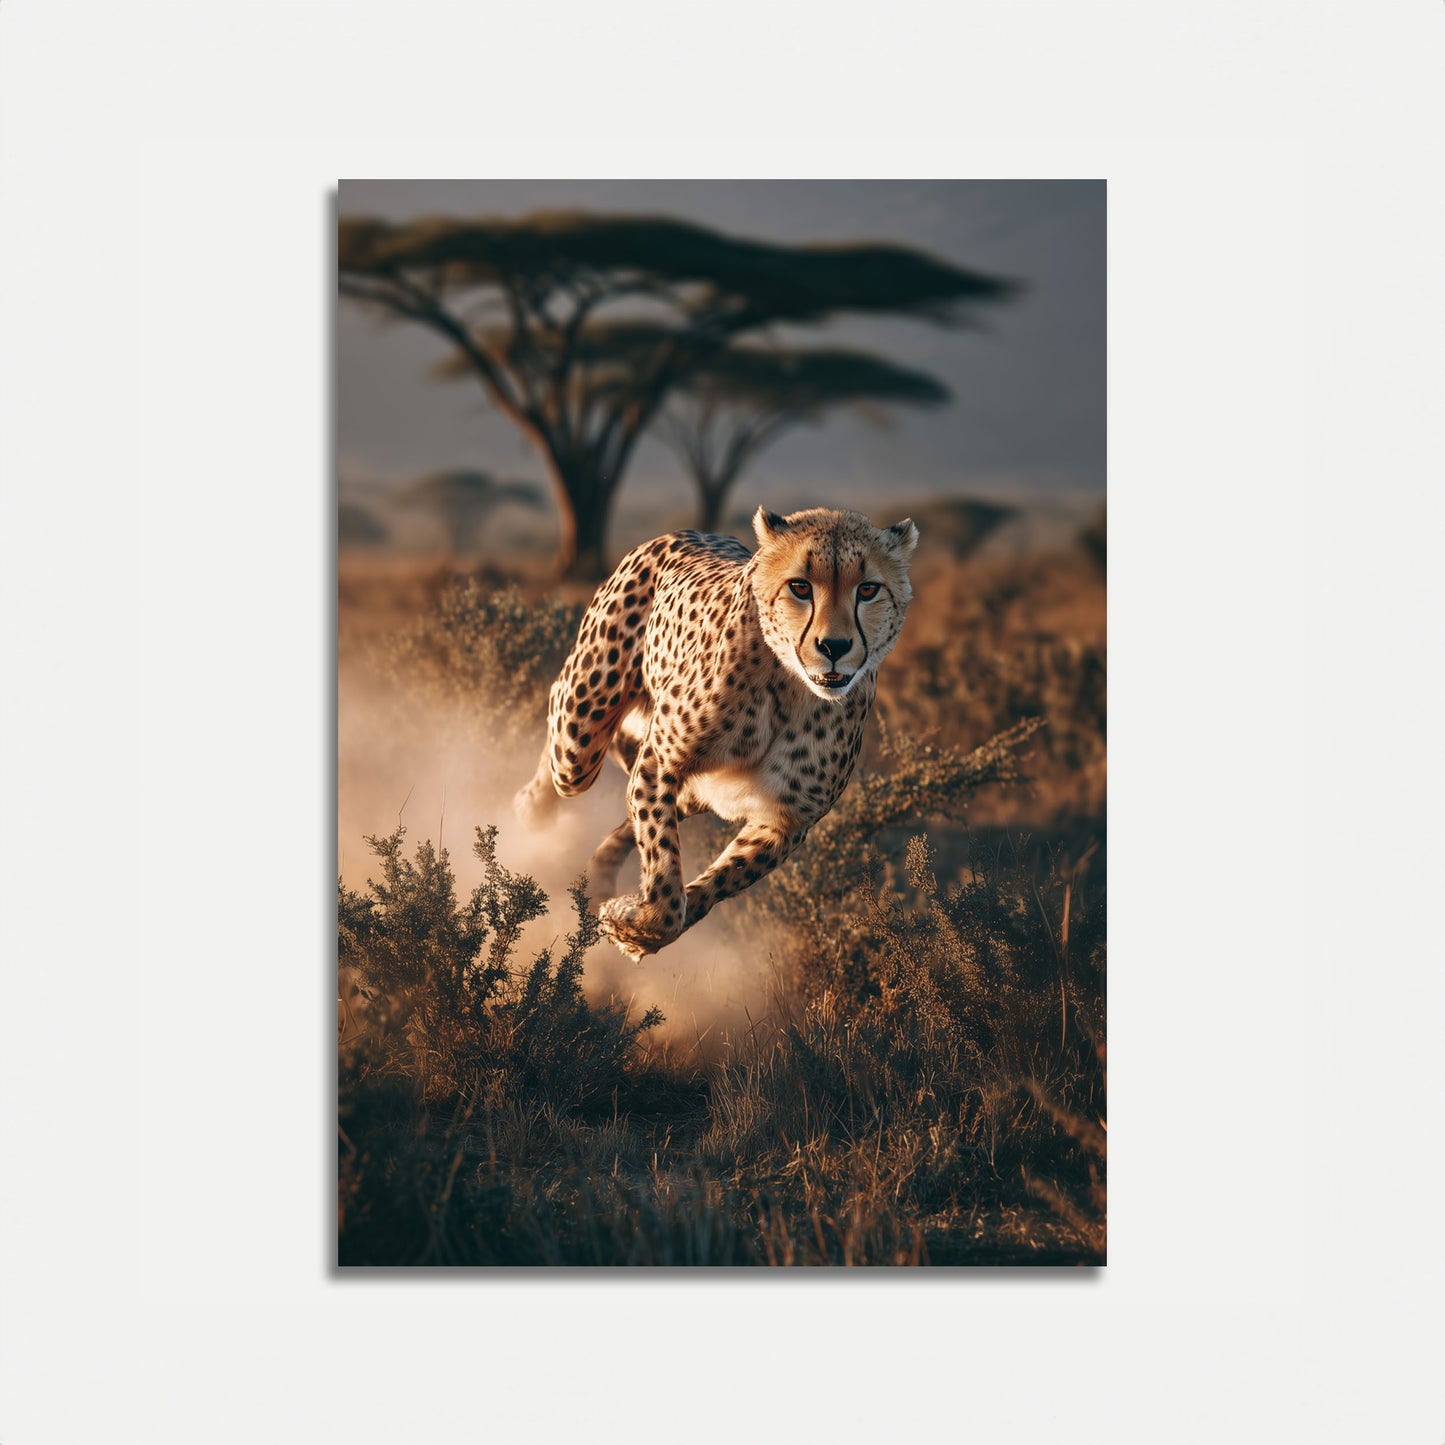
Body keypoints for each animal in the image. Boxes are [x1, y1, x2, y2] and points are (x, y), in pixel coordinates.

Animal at [514, 505, 919, 962]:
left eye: (868, 589)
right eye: (800, 586)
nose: (834, 646)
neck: (793, 690)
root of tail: (692, 531)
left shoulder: (784, 821)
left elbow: (708, 890)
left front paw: (629, 922)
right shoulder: (660, 763)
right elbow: (664, 871)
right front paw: (638, 920)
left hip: (696, 791)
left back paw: (600, 877)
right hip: (581, 731)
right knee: (564, 737)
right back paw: (532, 814)